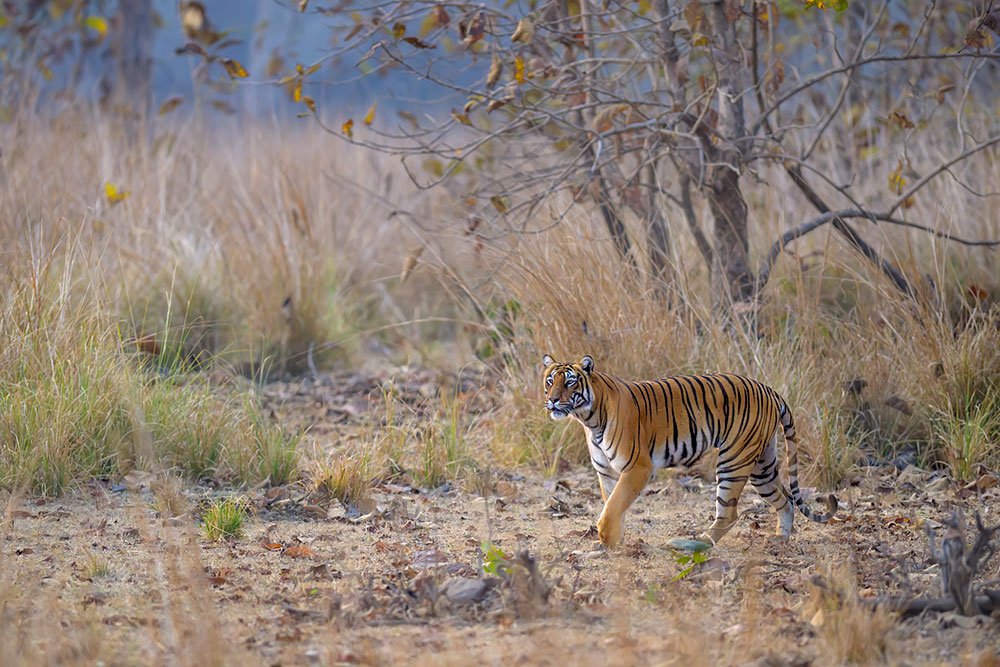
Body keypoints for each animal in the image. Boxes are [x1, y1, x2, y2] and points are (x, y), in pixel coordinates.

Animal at [541, 354, 838, 547]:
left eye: (570, 382)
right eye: (549, 381)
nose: (552, 400)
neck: (589, 419)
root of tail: (767, 388)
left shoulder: (637, 468)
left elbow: (613, 507)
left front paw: (606, 539)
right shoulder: (607, 472)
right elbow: (613, 505)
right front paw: (614, 541)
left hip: (734, 460)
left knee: (730, 513)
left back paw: (702, 541)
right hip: (762, 465)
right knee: (785, 500)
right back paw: (780, 539)